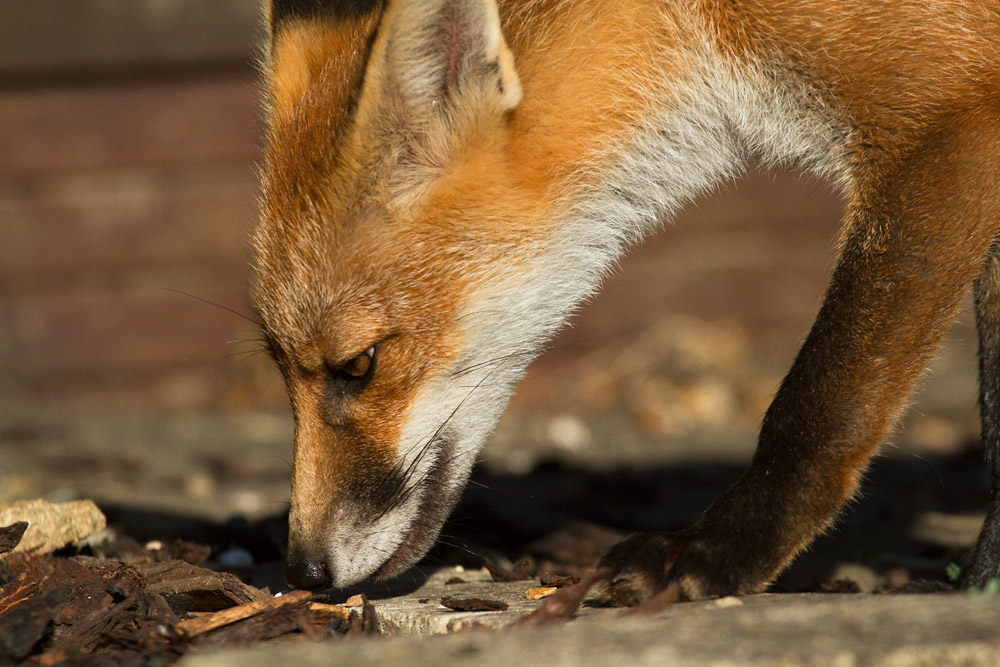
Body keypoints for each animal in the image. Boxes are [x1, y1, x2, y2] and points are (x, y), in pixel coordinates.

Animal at [251, 0, 1000, 604]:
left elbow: (817, 408)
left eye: (359, 363)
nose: (303, 572)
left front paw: (717, 555)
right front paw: (982, 585)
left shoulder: (948, 121)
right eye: (278, 367)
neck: (699, 20)